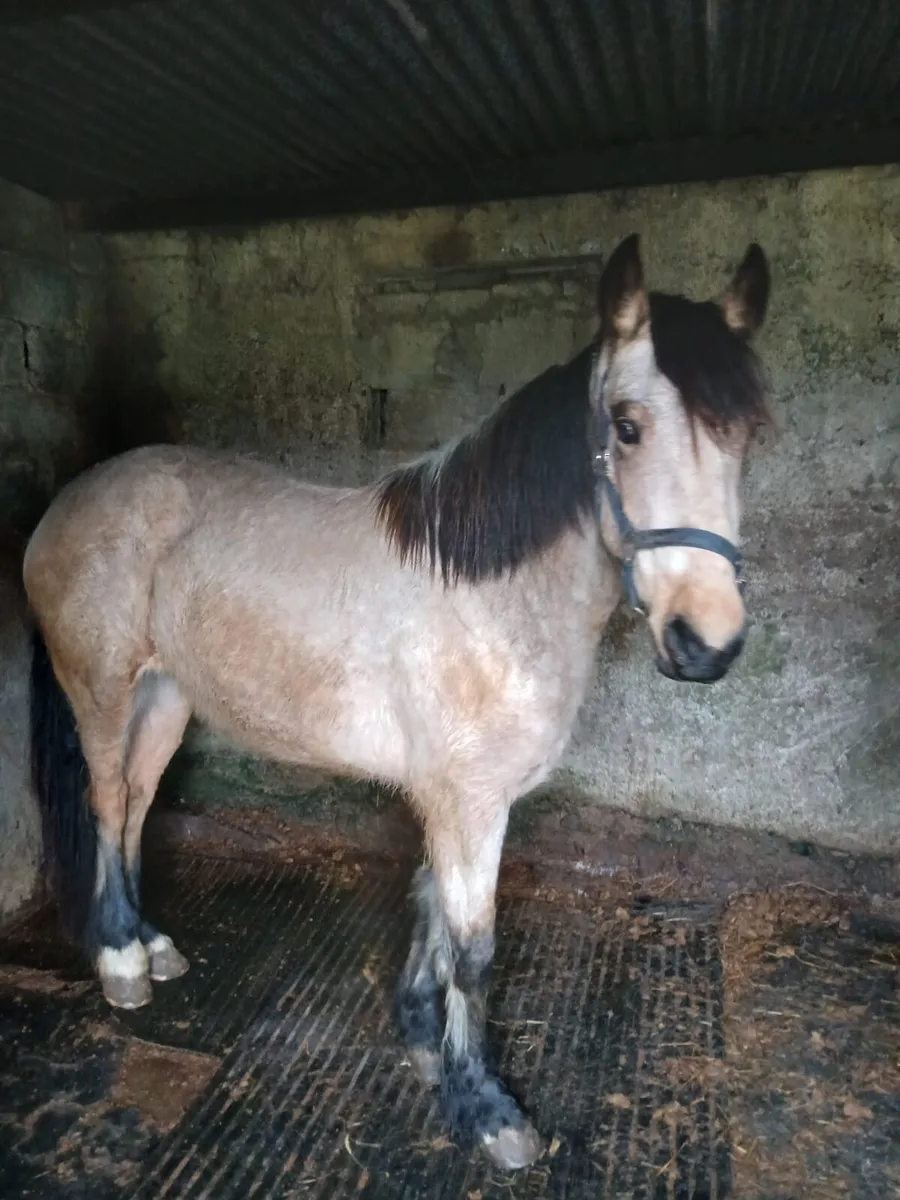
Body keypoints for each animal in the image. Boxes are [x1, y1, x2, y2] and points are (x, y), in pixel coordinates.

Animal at [24, 233, 771, 1171]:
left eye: (747, 432)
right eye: (628, 426)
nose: (707, 643)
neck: (491, 596)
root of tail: (67, 501)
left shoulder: (453, 798)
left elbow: (429, 910)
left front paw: (421, 1036)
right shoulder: (468, 802)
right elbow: (474, 952)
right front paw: (483, 1105)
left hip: (164, 701)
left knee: (133, 805)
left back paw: (148, 944)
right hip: (102, 689)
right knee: (105, 800)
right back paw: (121, 958)